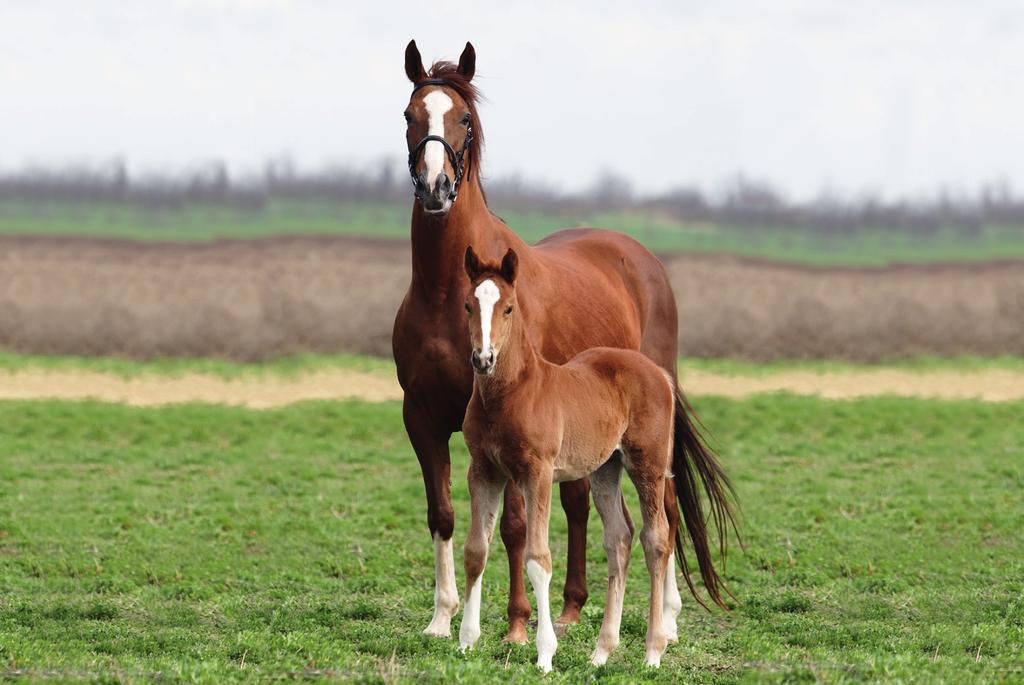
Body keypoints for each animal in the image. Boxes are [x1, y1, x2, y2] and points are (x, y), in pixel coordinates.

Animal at [464, 245, 696, 667]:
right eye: (468, 305)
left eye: (508, 308)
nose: (483, 359)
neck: (511, 393)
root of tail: (659, 374)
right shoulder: (483, 470)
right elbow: (476, 549)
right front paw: (465, 641)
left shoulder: (536, 473)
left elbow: (538, 559)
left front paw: (544, 654)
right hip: (606, 468)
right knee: (619, 539)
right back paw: (601, 652)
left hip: (649, 463)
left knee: (656, 537)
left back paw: (654, 650)